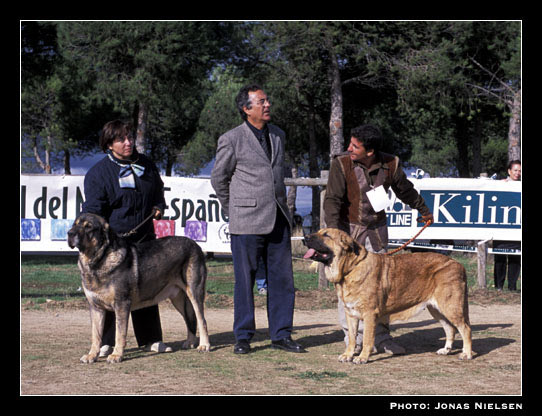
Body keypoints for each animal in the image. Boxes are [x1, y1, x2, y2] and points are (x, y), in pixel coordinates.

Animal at [68, 213, 212, 362]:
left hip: (194, 292)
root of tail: (196, 245)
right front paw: (92, 355)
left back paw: (204, 345)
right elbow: (96, 335)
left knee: (202, 320)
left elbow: (120, 333)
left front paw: (116, 355)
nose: (70, 233)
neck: (98, 261)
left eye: (89, 227)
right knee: (190, 319)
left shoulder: (121, 304)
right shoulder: (96, 308)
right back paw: (190, 342)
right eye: (74, 225)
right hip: (178, 299)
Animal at [304, 228, 474, 364]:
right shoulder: (351, 315)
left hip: (450, 307)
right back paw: (446, 350)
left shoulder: (369, 314)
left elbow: (367, 339)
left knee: (465, 329)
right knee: (450, 329)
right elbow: (352, 338)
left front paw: (362, 357)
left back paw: (466, 354)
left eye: (326, 235)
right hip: (437, 309)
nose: (305, 237)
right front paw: (348, 355)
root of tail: (459, 264)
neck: (350, 269)